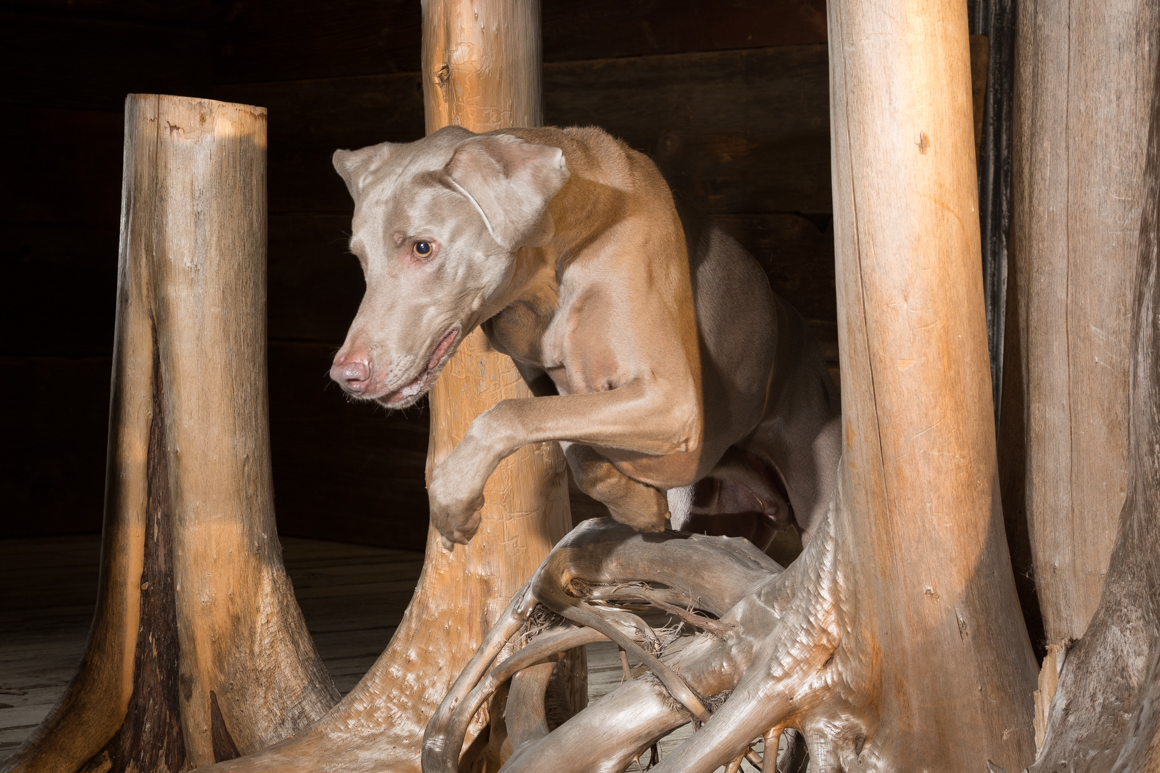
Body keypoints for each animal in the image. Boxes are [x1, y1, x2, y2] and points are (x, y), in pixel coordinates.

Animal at [331, 124, 839, 547]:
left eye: (423, 247)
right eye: (360, 258)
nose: (345, 375)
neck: (551, 272)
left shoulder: (671, 400)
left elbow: (505, 413)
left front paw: (452, 497)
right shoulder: (548, 382)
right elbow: (573, 445)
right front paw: (639, 506)